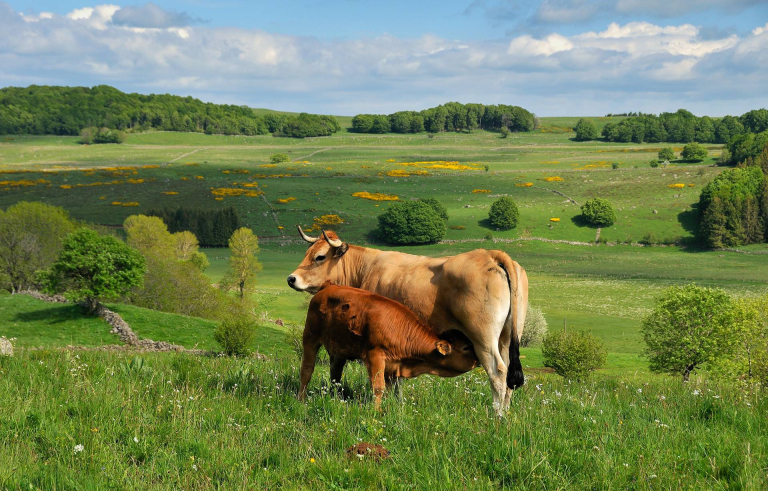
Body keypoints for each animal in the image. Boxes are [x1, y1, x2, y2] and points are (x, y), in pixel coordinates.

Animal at [296, 282, 476, 410]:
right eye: (466, 347)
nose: (478, 360)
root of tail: (328, 286)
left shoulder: (395, 366)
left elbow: (395, 390)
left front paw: (396, 408)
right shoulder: (375, 356)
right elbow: (379, 387)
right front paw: (377, 412)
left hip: (339, 351)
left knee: (335, 376)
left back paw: (336, 399)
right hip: (310, 337)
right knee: (307, 370)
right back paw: (301, 400)